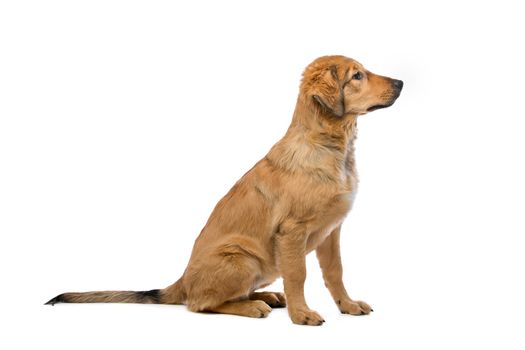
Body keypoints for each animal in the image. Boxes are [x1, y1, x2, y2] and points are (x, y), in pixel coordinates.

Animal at [47, 54, 404, 326]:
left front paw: (348, 305)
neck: (331, 148)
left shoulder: (332, 231)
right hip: (242, 259)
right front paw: (301, 314)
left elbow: (335, 272)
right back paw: (254, 305)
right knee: (200, 303)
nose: (401, 83)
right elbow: (299, 275)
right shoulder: (292, 231)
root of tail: (181, 281)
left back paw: (268, 296)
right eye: (357, 75)